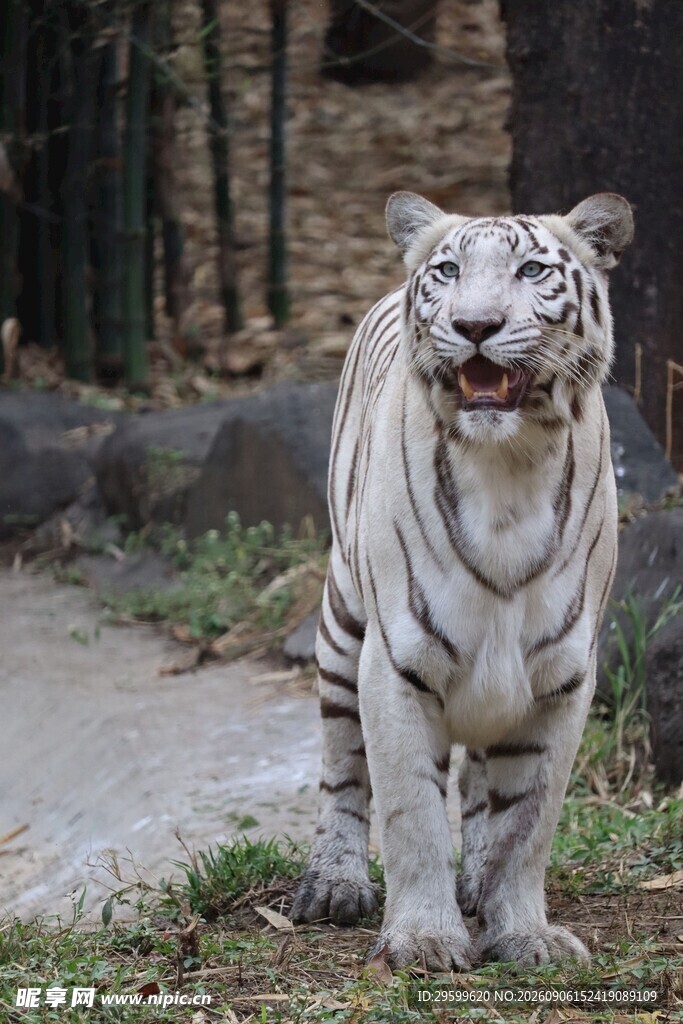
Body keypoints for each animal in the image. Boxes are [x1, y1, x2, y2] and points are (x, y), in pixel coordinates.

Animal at [291, 191, 634, 970]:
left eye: (532, 270)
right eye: (448, 272)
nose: (475, 325)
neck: (509, 466)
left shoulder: (561, 677)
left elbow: (525, 826)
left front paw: (523, 932)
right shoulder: (394, 665)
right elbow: (412, 812)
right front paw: (423, 938)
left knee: (480, 783)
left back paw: (472, 880)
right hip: (341, 624)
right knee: (341, 766)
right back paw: (334, 885)